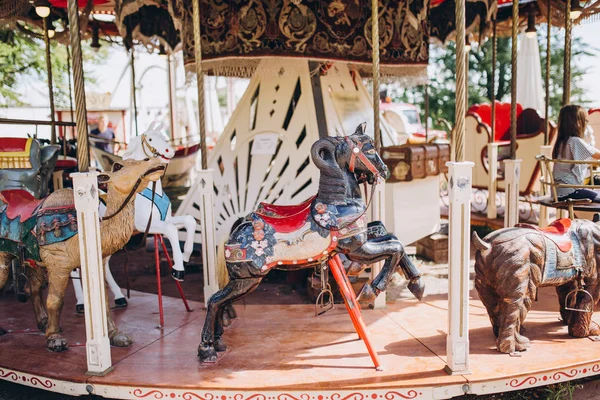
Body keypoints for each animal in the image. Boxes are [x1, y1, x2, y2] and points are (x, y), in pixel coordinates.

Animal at [72, 123, 196, 310]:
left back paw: (119, 297)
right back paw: (80, 302)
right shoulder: (145, 224)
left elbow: (189, 221)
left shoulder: (164, 219)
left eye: (164, 136)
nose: (170, 151)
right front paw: (178, 269)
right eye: (150, 139)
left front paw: (186, 256)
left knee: (104, 266)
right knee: (74, 268)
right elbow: (171, 230)